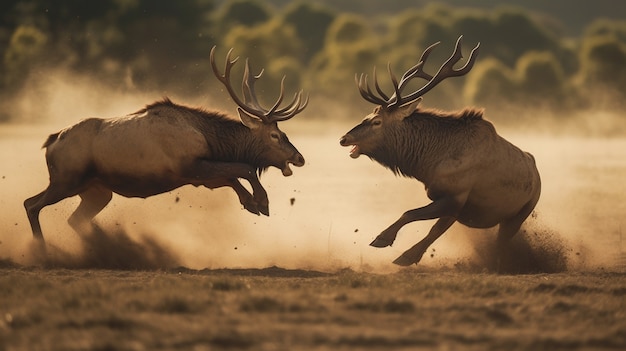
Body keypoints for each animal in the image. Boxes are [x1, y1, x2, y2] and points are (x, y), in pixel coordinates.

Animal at [24, 47, 308, 242]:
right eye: (275, 135)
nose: (299, 157)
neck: (212, 140)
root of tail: (50, 143)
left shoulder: (201, 176)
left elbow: (232, 177)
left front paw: (250, 203)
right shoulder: (189, 166)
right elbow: (243, 168)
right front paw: (262, 202)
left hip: (95, 191)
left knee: (70, 218)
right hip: (66, 179)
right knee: (31, 205)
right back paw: (43, 250)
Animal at [338, 35, 540, 266]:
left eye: (377, 121)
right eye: (367, 116)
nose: (344, 138)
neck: (427, 164)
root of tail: (536, 173)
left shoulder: (456, 196)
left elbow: (411, 214)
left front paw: (383, 238)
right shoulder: (449, 201)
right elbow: (432, 226)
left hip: (522, 211)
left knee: (501, 239)